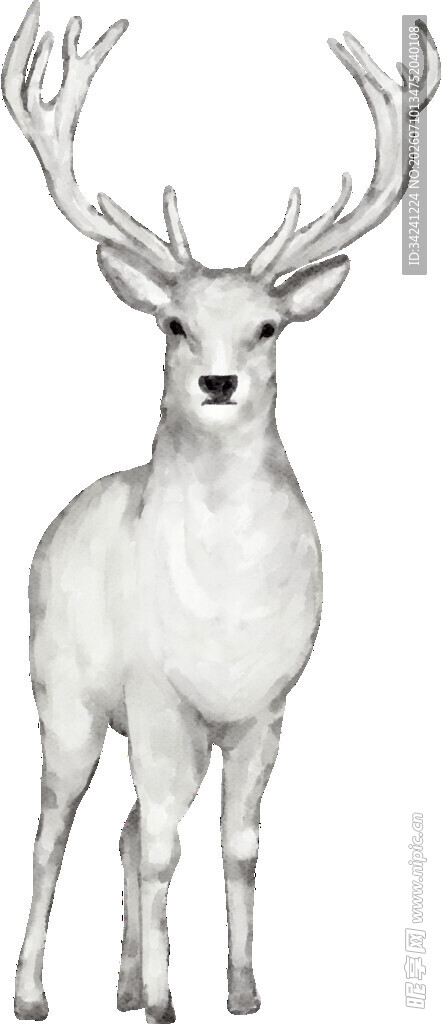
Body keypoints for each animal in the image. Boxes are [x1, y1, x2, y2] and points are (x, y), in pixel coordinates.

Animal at [3, 2, 440, 1021]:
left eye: (268, 327)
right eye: (174, 323)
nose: (216, 381)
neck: (225, 619)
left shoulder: (265, 709)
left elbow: (239, 845)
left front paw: (240, 989)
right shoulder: (157, 696)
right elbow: (164, 846)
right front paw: (172, 1000)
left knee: (126, 828)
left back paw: (121, 983)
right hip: (65, 696)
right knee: (56, 829)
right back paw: (40, 991)